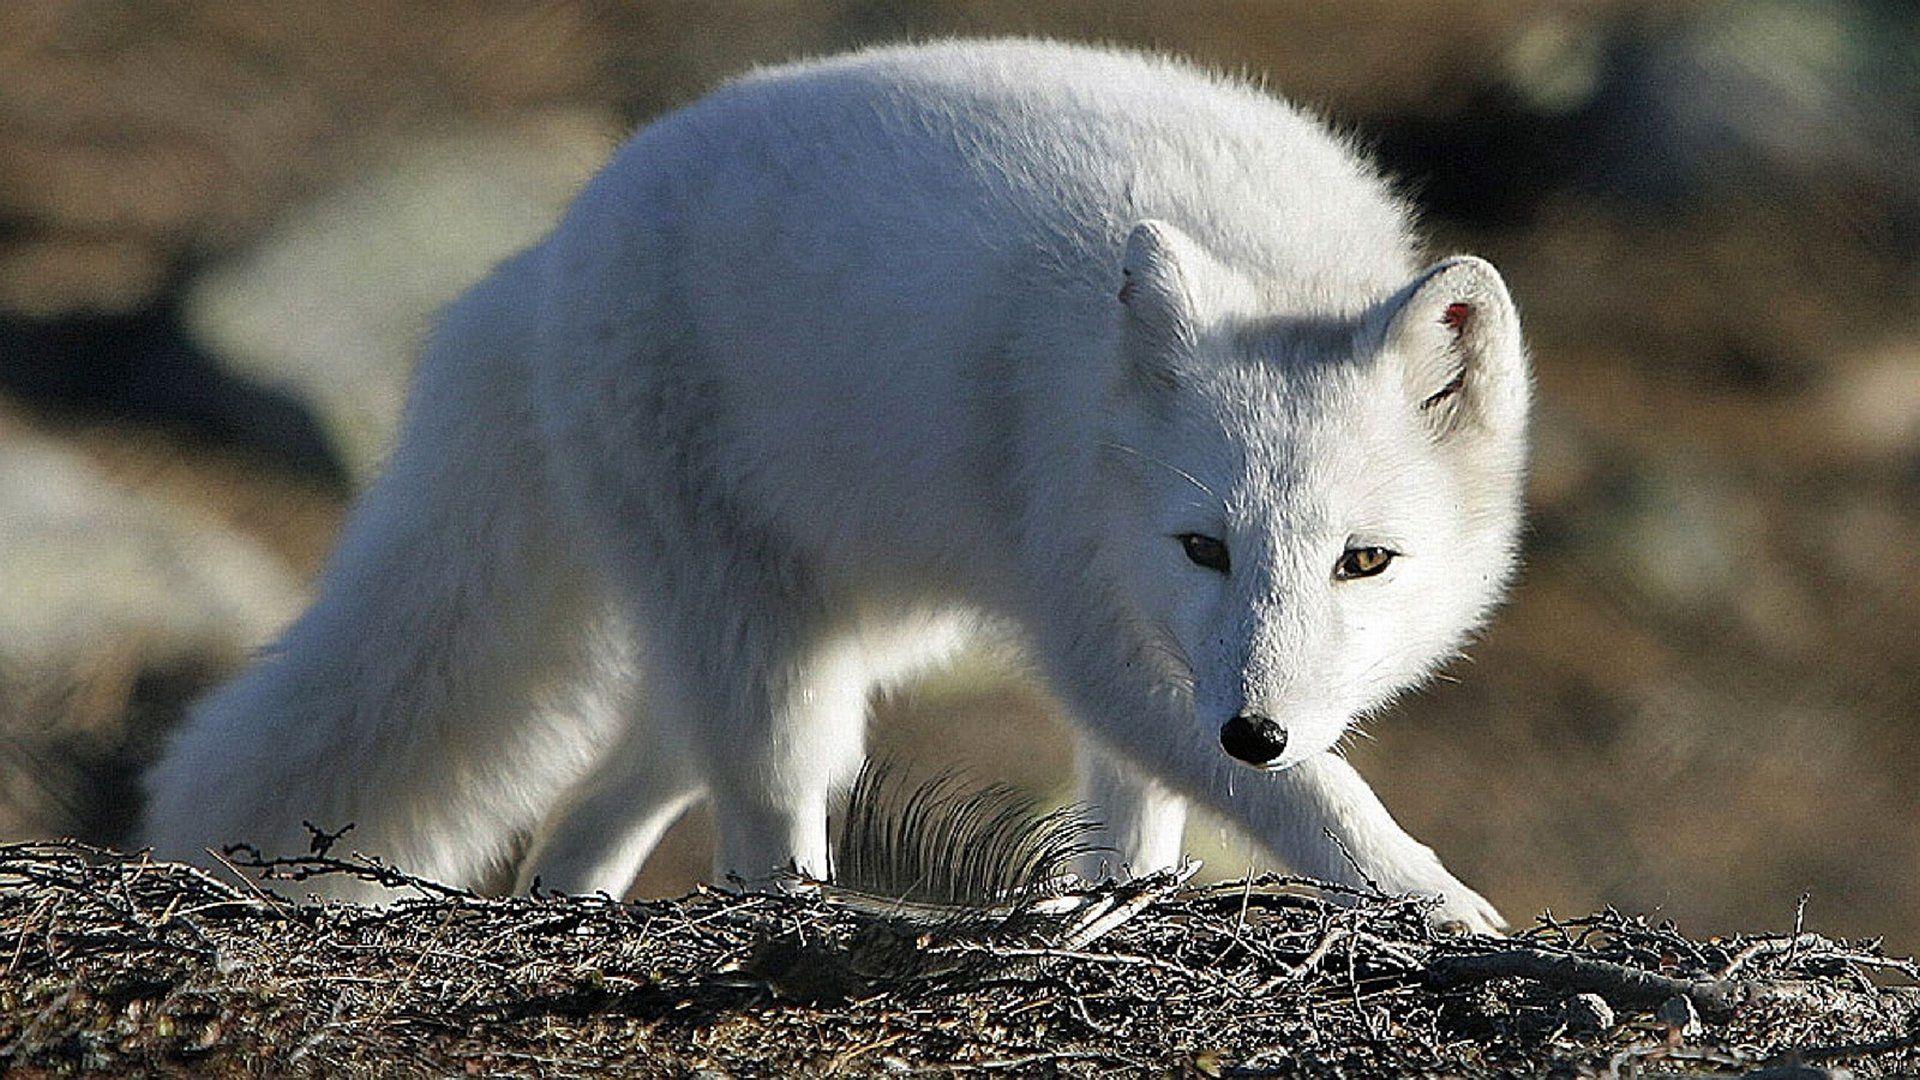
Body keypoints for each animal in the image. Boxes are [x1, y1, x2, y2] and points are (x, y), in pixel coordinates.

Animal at [144, 39, 1527, 932]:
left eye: (1363, 561)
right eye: (1206, 548)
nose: (1256, 728)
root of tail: (547, 251)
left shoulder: (1142, 652)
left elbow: (1143, 825)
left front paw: (1108, 914)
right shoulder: (1098, 630)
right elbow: (1315, 804)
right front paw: (1450, 912)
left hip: (834, 642)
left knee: (593, 812)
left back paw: (571, 913)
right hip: (771, 657)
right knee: (757, 829)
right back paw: (782, 925)